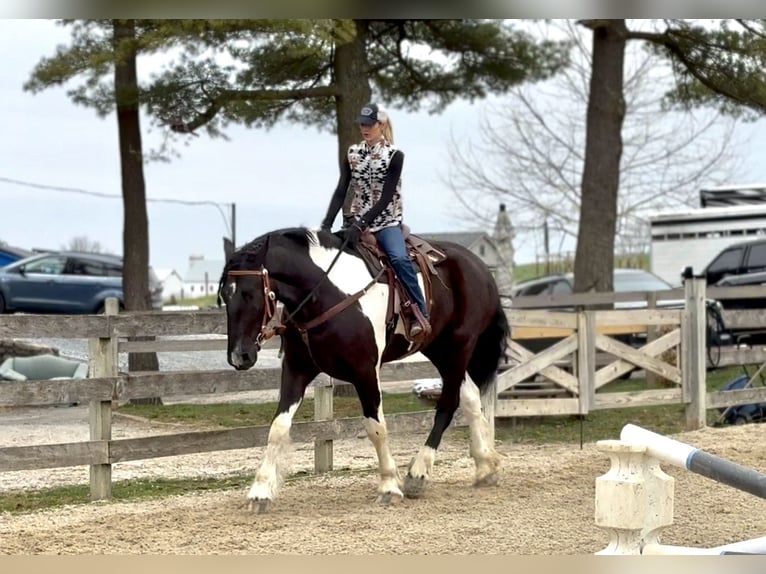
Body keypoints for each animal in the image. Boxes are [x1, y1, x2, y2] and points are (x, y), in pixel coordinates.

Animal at [217, 226, 510, 512]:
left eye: (249, 293)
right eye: (224, 295)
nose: (239, 356)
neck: (327, 295)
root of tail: (480, 268)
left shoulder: (365, 371)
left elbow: (376, 428)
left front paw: (389, 486)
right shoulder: (296, 370)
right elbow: (278, 427)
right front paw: (260, 492)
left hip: (459, 346)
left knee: (448, 404)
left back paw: (418, 474)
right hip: (439, 349)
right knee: (470, 397)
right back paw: (486, 467)